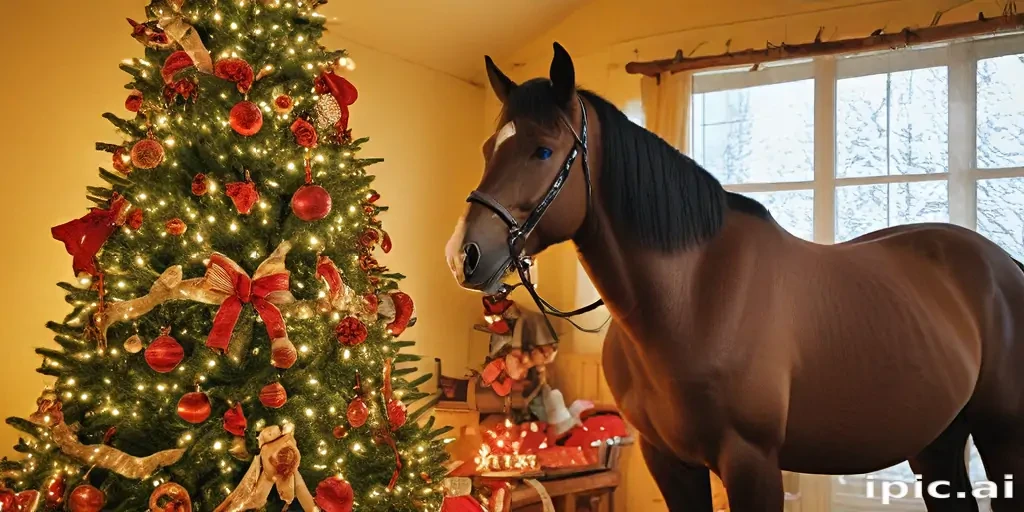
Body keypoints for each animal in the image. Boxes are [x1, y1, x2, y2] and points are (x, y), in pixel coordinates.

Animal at [445, 42, 1024, 511]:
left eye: (542, 150)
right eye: (487, 149)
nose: (463, 255)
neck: (693, 298)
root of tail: (1004, 265)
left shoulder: (752, 464)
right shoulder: (669, 462)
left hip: (1001, 438)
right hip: (936, 444)